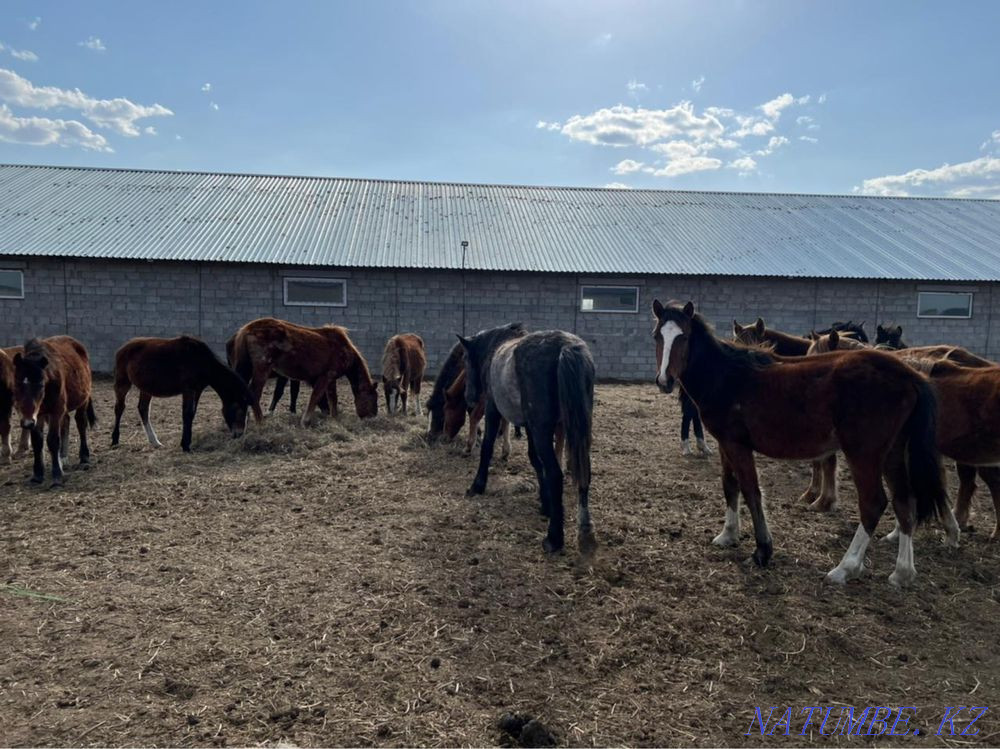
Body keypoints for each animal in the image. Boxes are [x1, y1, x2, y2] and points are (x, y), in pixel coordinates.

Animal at [13, 336, 96, 487]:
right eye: (17, 384)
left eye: (40, 384)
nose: (27, 423)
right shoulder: (38, 415)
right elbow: (37, 441)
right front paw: (37, 474)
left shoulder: (55, 411)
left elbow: (52, 440)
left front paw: (57, 475)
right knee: (66, 422)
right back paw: (63, 457)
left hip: (83, 400)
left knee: (81, 423)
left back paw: (84, 457)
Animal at [111, 336, 262, 452]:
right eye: (239, 410)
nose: (239, 434)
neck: (201, 360)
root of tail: (122, 349)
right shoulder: (188, 390)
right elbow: (187, 414)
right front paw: (186, 446)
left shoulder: (197, 390)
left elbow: (192, 414)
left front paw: (186, 443)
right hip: (123, 382)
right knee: (119, 408)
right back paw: (115, 440)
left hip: (146, 388)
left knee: (143, 409)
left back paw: (155, 442)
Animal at [230, 318, 378, 425]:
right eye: (373, 398)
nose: (373, 416)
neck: (344, 350)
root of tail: (246, 329)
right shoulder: (326, 376)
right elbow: (316, 396)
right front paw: (305, 421)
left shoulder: (331, 379)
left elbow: (333, 399)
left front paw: (334, 418)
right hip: (262, 368)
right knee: (254, 393)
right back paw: (260, 421)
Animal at [460, 323, 597, 556]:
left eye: (467, 359)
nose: (468, 397)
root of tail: (566, 347)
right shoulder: (531, 426)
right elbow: (534, 460)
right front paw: (545, 503)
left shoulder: (493, 409)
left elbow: (487, 447)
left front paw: (477, 485)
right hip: (578, 428)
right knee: (583, 471)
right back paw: (584, 529)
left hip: (545, 431)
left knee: (556, 473)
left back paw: (554, 538)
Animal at [653, 299, 957, 586]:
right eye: (657, 336)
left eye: (683, 336)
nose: (664, 381)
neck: (728, 376)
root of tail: (909, 374)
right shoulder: (725, 444)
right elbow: (730, 486)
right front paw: (728, 535)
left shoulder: (737, 446)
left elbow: (751, 491)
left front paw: (762, 551)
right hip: (893, 453)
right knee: (904, 502)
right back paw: (902, 573)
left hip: (864, 454)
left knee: (873, 503)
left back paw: (845, 568)